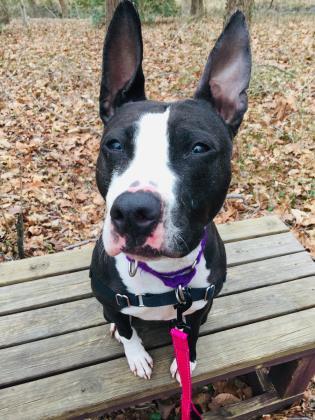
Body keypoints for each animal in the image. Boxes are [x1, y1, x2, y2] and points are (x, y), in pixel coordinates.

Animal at [90, 0, 253, 382]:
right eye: (113, 144)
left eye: (198, 148)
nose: (132, 212)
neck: (168, 273)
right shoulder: (112, 302)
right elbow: (127, 328)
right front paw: (136, 355)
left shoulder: (197, 308)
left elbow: (190, 334)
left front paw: (186, 361)